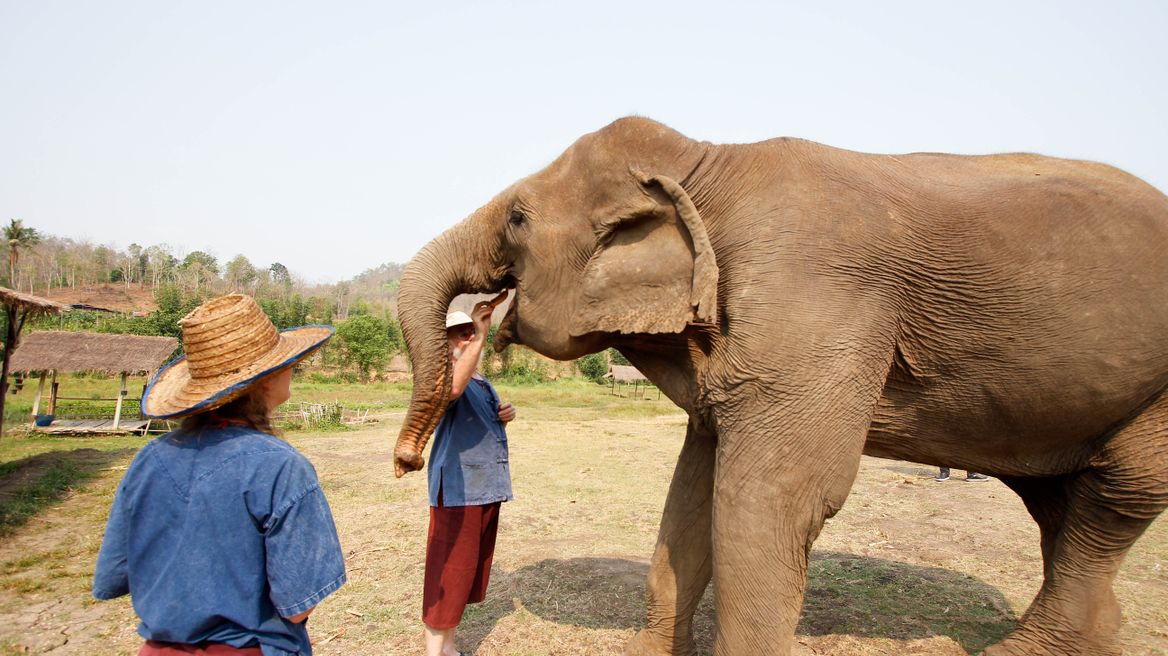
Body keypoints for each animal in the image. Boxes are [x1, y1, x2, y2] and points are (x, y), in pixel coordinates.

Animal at [392, 116, 1168, 655]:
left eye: (518, 218)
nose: (403, 462)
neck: (707, 163)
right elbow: (694, 489)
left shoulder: (816, 304)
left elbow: (776, 496)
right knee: (1061, 503)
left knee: (1119, 493)